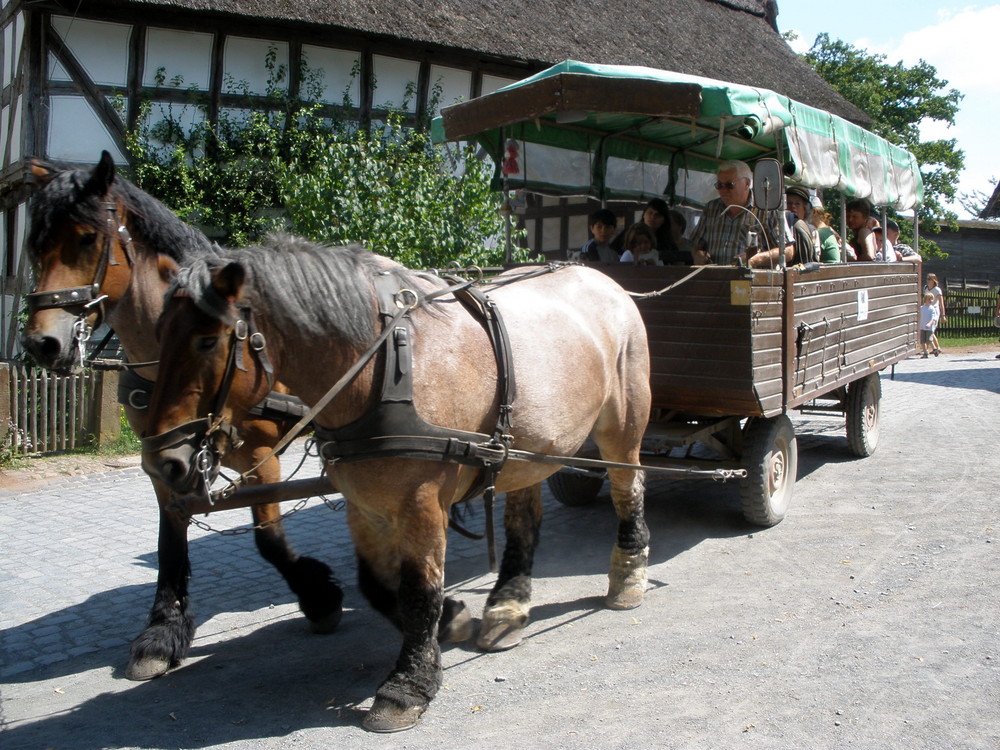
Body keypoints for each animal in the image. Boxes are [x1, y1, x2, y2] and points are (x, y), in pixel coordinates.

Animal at [19, 151, 344, 680]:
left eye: (86, 238)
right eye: (35, 245)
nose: (41, 344)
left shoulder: (262, 457)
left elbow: (269, 540)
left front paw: (319, 597)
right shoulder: (162, 461)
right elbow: (169, 542)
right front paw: (163, 630)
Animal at [143, 239, 656, 736]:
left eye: (207, 340)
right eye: (158, 334)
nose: (163, 462)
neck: (384, 369)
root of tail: (600, 278)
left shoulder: (421, 504)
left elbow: (418, 590)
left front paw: (407, 687)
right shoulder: (364, 504)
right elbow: (376, 584)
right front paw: (451, 620)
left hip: (622, 424)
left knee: (627, 487)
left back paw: (628, 575)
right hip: (527, 451)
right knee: (524, 518)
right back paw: (508, 606)